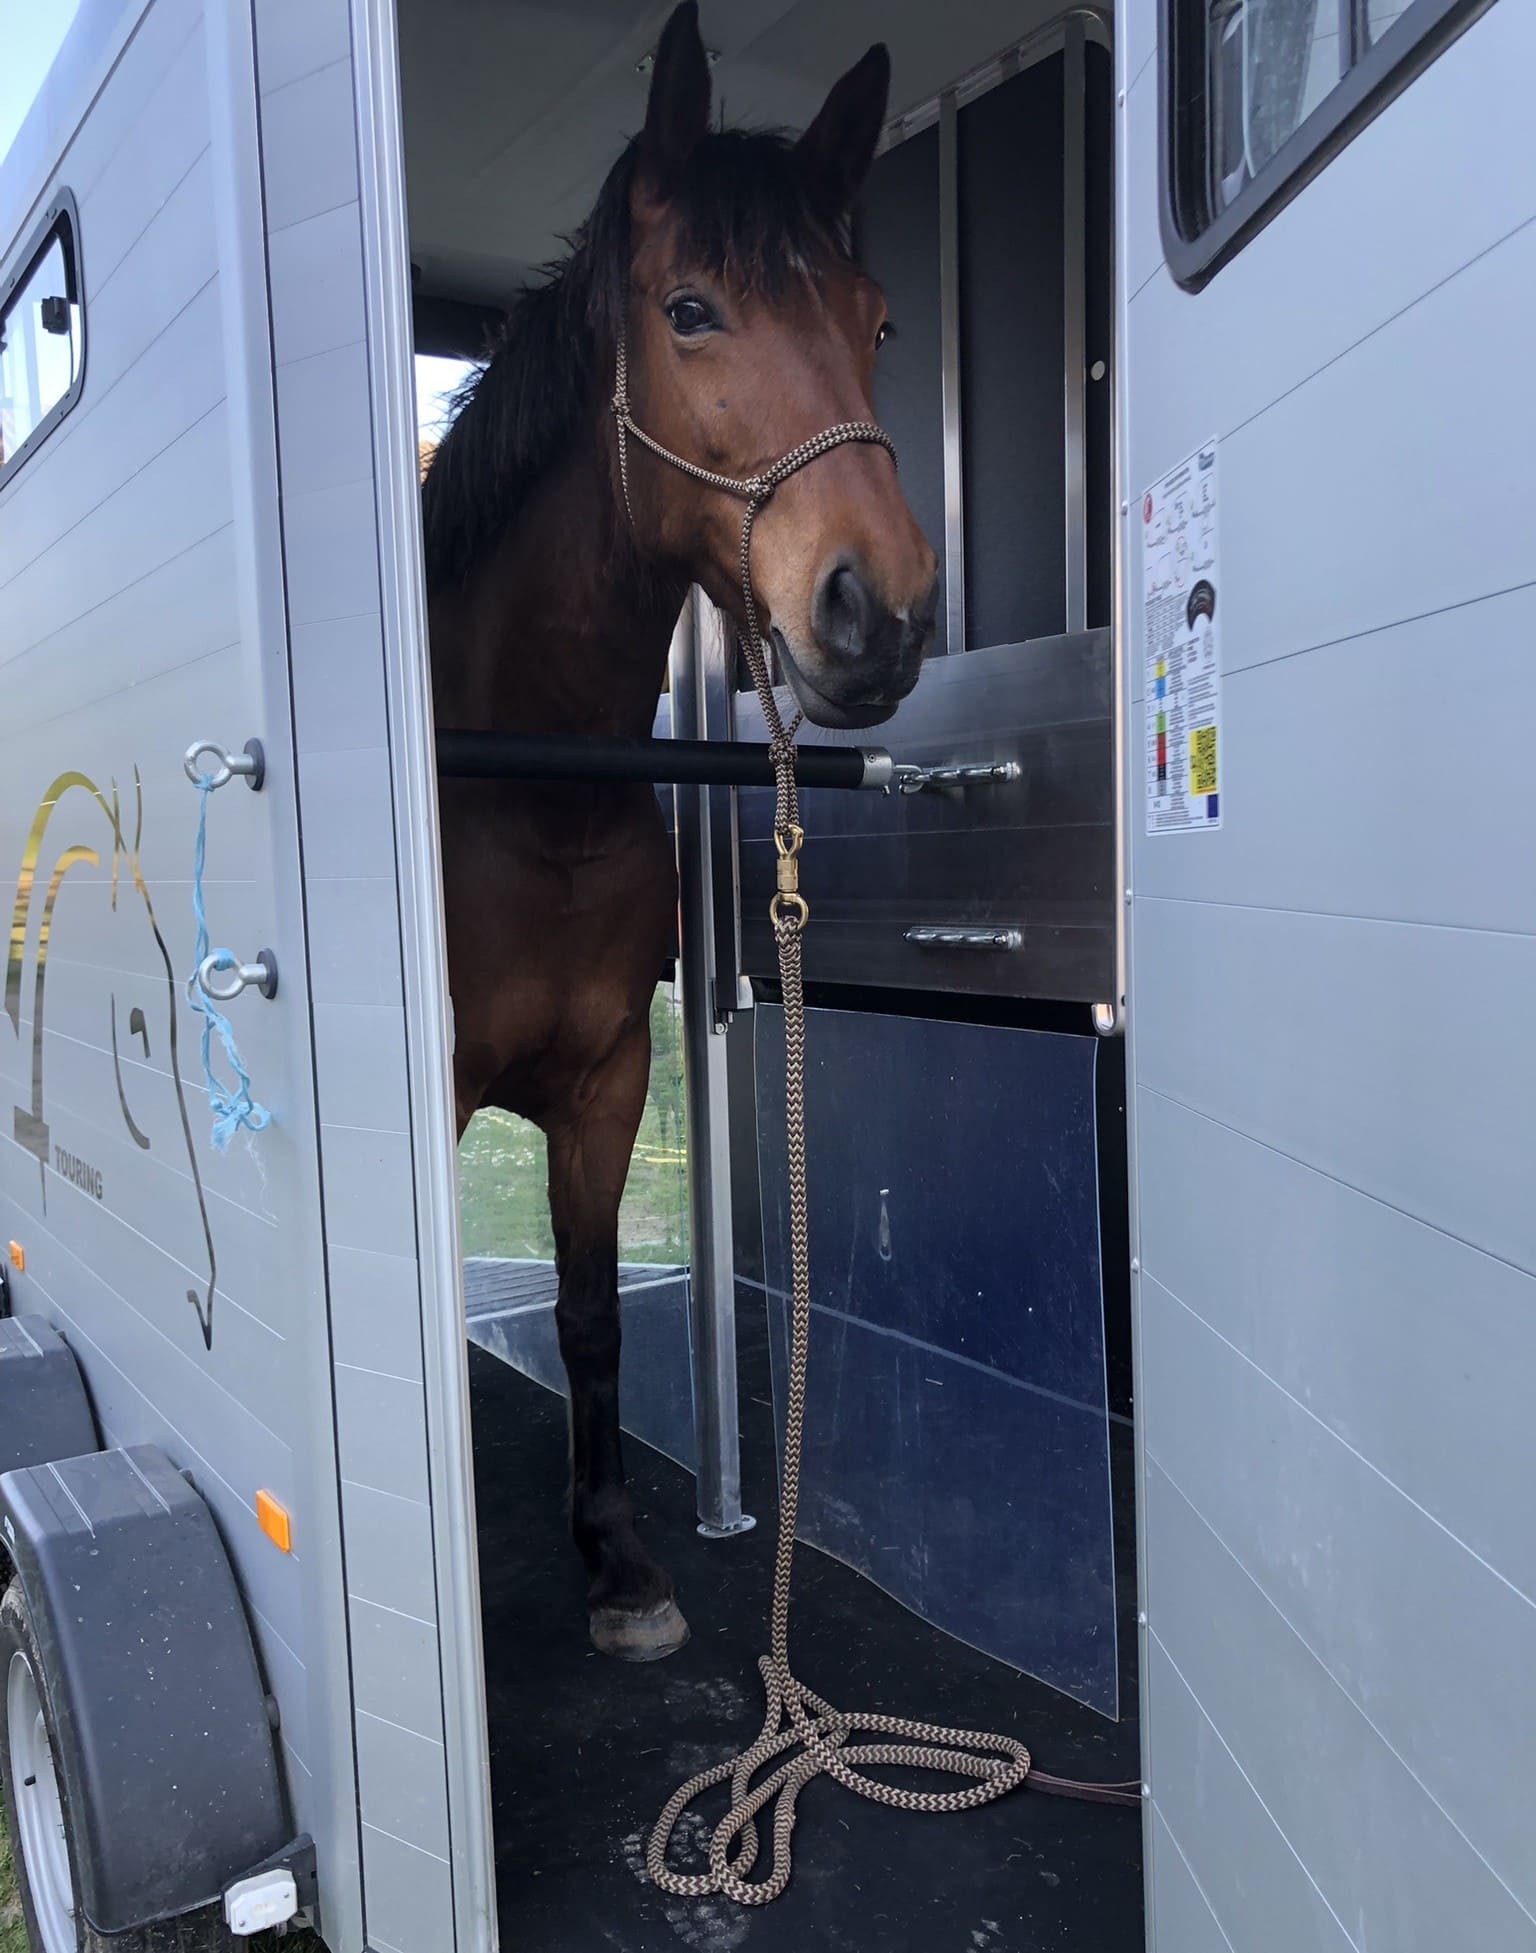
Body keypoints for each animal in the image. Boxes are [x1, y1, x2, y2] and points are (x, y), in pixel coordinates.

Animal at [422, 1, 938, 1662]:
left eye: (879, 321)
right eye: (691, 309)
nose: (879, 608)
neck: (526, 789)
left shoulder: (604, 1084)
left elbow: (589, 1315)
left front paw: (617, 1558)